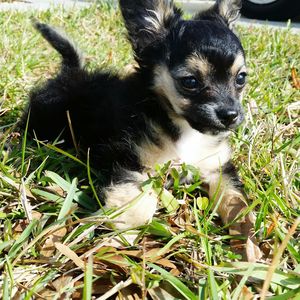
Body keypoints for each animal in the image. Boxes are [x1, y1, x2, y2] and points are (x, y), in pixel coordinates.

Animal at [23, 0, 262, 260]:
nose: (230, 115)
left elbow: (238, 203)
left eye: (241, 78)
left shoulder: (218, 168)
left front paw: (249, 244)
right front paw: (114, 243)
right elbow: (139, 207)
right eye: (190, 82)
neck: (185, 130)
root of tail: (71, 72)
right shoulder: (131, 162)